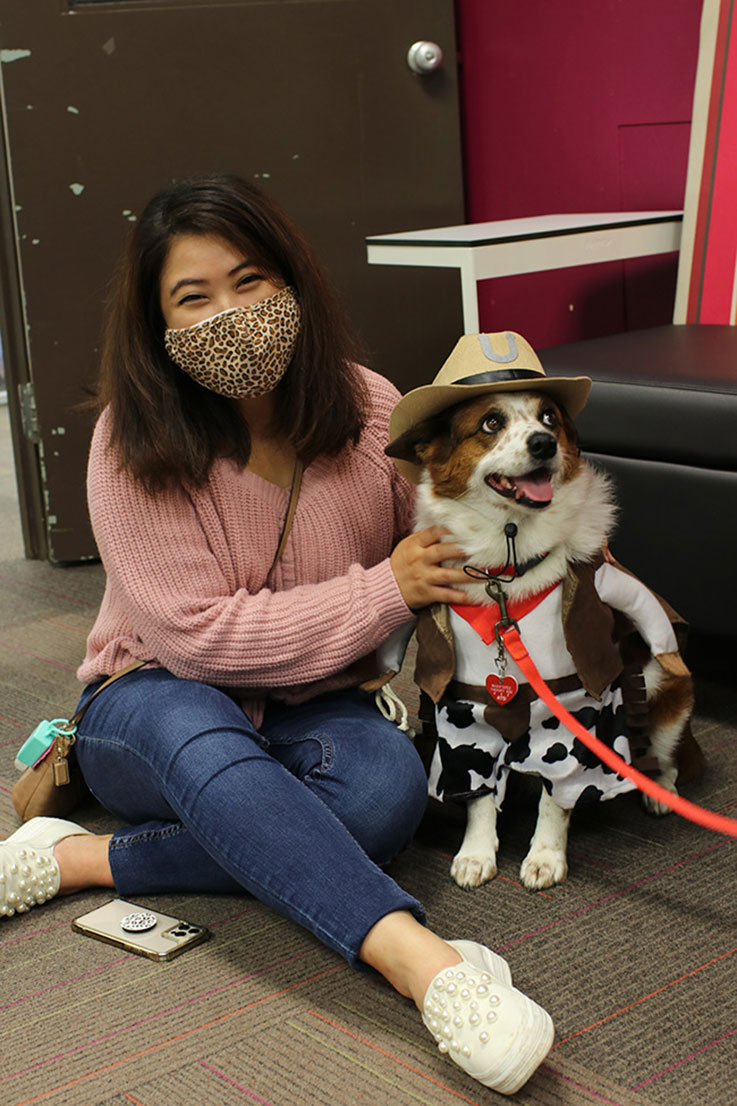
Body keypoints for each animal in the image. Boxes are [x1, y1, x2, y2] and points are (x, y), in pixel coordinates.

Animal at [380, 327, 699, 889]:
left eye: (549, 418)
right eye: (491, 423)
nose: (544, 443)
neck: (506, 567)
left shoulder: (572, 714)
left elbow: (559, 796)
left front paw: (546, 855)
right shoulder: (464, 717)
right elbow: (478, 795)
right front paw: (477, 851)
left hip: (664, 686)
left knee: (664, 754)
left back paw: (660, 792)